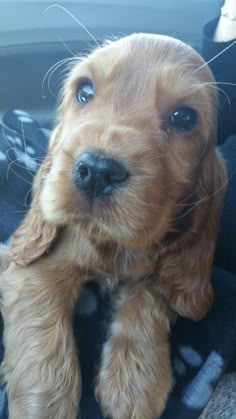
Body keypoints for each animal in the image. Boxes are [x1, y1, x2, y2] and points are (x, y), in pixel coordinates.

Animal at [0, 33, 227, 419]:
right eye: (84, 91)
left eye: (184, 117)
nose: (96, 171)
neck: (111, 245)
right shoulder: (35, 267)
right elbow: (42, 348)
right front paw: (43, 408)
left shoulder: (156, 265)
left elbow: (152, 293)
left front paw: (137, 383)